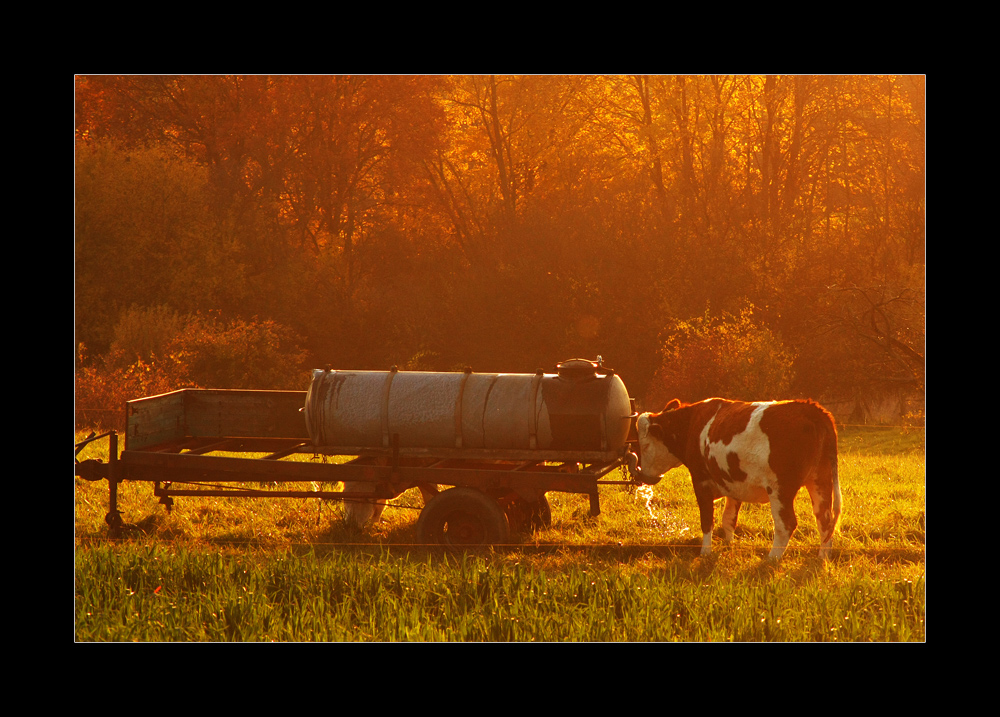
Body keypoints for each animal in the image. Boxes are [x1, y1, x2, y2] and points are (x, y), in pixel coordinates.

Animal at [636, 398, 840, 560]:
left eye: (645, 446)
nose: (642, 474)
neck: (693, 425)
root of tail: (810, 408)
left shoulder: (701, 481)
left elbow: (707, 520)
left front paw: (705, 553)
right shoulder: (733, 486)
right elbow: (728, 519)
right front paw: (729, 545)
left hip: (780, 489)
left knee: (786, 524)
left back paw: (772, 558)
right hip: (820, 480)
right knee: (824, 520)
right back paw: (822, 557)